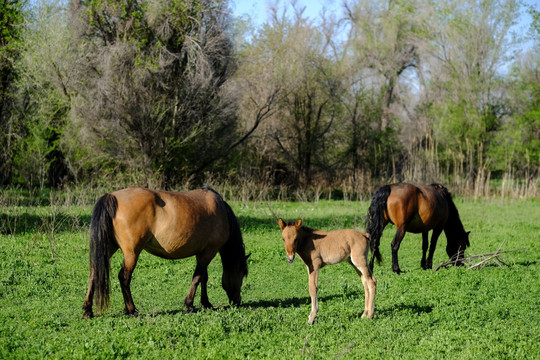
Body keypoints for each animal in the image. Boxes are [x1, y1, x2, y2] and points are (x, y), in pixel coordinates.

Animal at [82, 186, 249, 318]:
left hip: (108, 248)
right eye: (241, 274)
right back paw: (132, 310)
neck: (220, 210)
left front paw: (206, 303)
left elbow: (203, 278)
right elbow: (197, 278)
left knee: (95, 272)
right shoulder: (208, 252)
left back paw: (87, 310)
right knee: (124, 277)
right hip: (131, 253)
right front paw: (189, 304)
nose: (237, 301)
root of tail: (112, 196)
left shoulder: (202, 253)